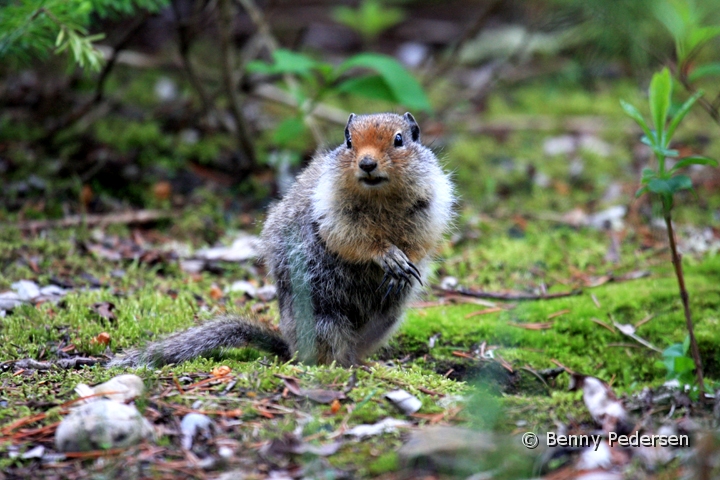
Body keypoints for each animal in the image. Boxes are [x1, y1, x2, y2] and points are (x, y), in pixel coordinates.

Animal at [109, 112, 452, 368]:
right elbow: (352, 240)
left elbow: (421, 243)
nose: (367, 164)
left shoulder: (429, 208)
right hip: (323, 319)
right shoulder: (333, 213)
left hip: (387, 319)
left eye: (399, 139)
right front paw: (386, 255)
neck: (380, 197)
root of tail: (291, 345)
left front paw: (404, 262)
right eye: (348, 140)